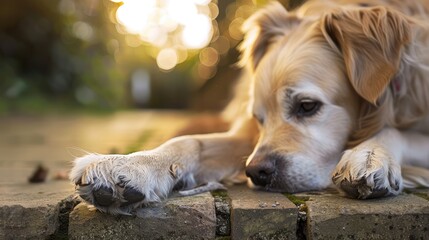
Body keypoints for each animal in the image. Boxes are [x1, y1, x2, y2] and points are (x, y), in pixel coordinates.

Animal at [69, 0, 428, 214]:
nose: (256, 172)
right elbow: (187, 142)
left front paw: (370, 156)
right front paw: (131, 165)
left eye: (307, 106)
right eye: (260, 118)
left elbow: (394, 131)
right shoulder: (247, 137)